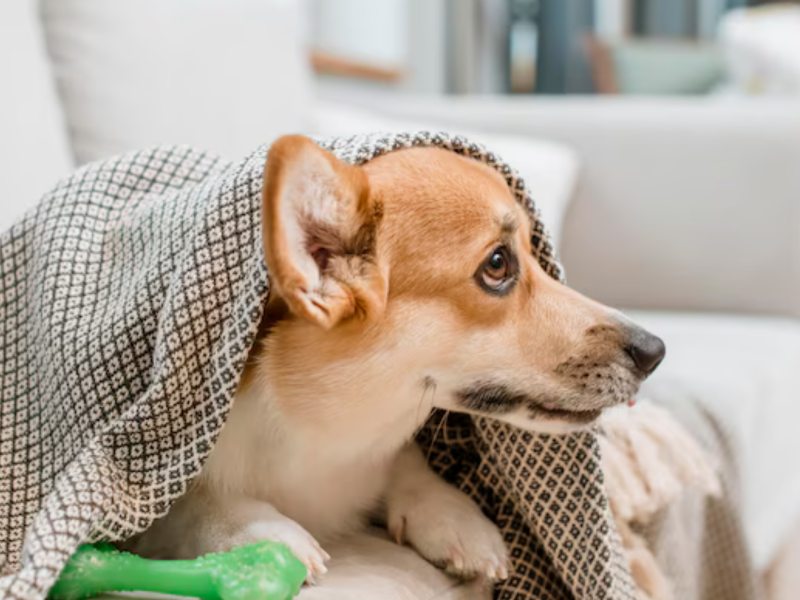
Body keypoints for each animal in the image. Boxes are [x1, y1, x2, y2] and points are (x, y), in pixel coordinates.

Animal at [126, 136, 664, 584]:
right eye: (497, 265)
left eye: (536, 254)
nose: (654, 351)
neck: (323, 433)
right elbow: (190, 505)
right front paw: (261, 531)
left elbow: (407, 464)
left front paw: (455, 518)